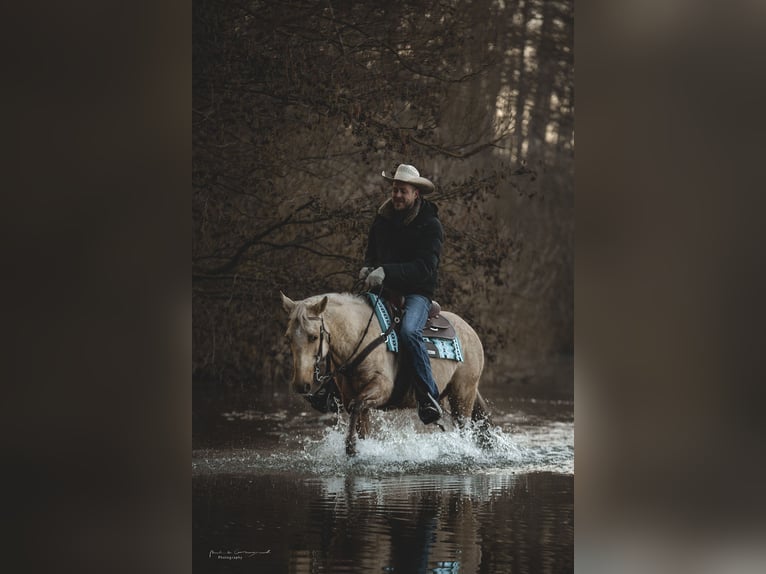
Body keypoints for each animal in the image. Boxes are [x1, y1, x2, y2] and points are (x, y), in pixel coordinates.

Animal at [280, 291, 491, 455]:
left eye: (313, 337)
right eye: (288, 338)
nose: (300, 385)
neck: (360, 337)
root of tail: (469, 330)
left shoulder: (381, 388)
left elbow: (358, 406)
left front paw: (351, 447)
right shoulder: (350, 397)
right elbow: (359, 419)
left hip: (462, 395)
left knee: (464, 430)